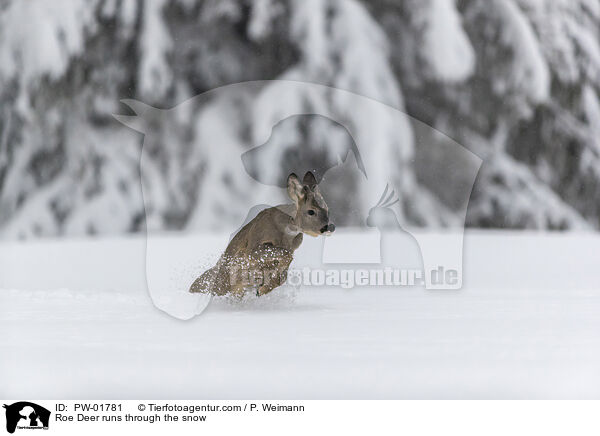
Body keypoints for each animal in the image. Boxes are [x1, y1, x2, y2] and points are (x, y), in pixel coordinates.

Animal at [190, 170, 336, 296]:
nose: (329, 227)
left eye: (328, 209)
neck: (285, 233)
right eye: (311, 211)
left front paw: (263, 288)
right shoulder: (252, 248)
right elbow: (285, 255)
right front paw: (263, 288)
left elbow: (283, 275)